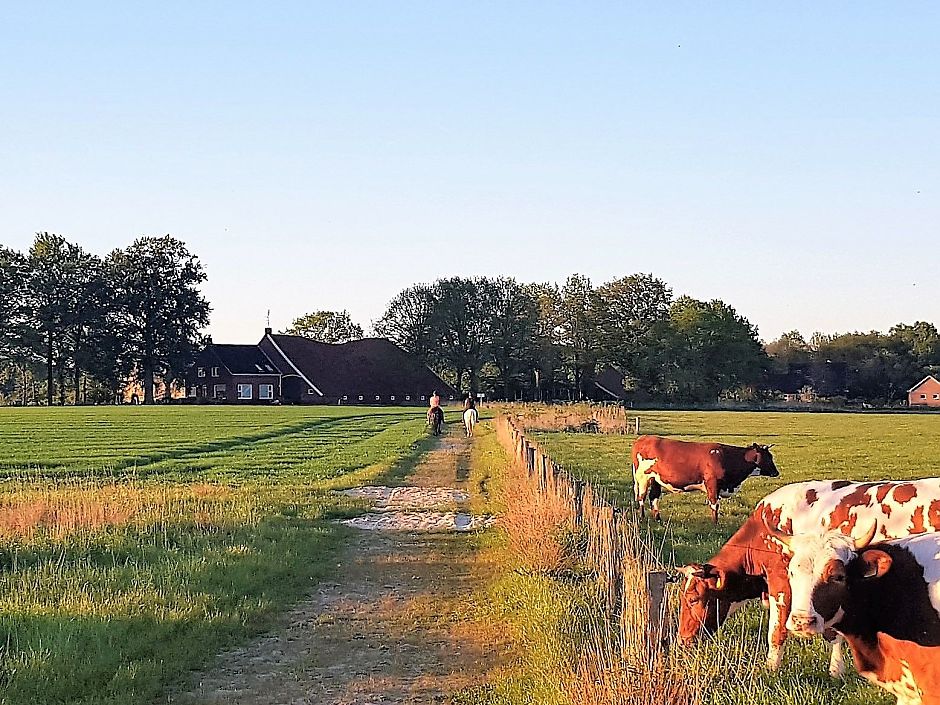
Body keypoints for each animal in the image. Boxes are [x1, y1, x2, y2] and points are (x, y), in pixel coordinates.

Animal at [632, 432, 780, 524]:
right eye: (768, 457)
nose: (776, 472)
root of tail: (642, 438)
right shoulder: (712, 483)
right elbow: (715, 504)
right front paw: (715, 524)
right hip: (643, 477)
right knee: (641, 497)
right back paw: (642, 517)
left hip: (656, 479)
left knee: (653, 497)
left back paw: (658, 519)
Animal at [680, 478, 940, 672]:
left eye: (693, 599)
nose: (682, 638)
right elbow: (834, 633)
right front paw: (837, 671)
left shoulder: (781, 584)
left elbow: (776, 631)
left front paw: (771, 668)